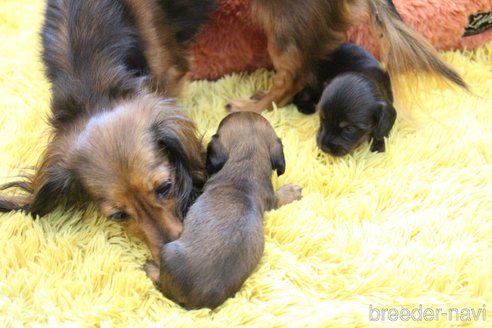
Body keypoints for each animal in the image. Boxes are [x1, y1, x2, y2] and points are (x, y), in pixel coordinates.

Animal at [144, 111, 302, 308]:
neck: (246, 168)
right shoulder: (269, 197)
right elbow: (278, 198)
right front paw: (292, 191)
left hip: (167, 252)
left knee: (160, 281)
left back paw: (151, 268)